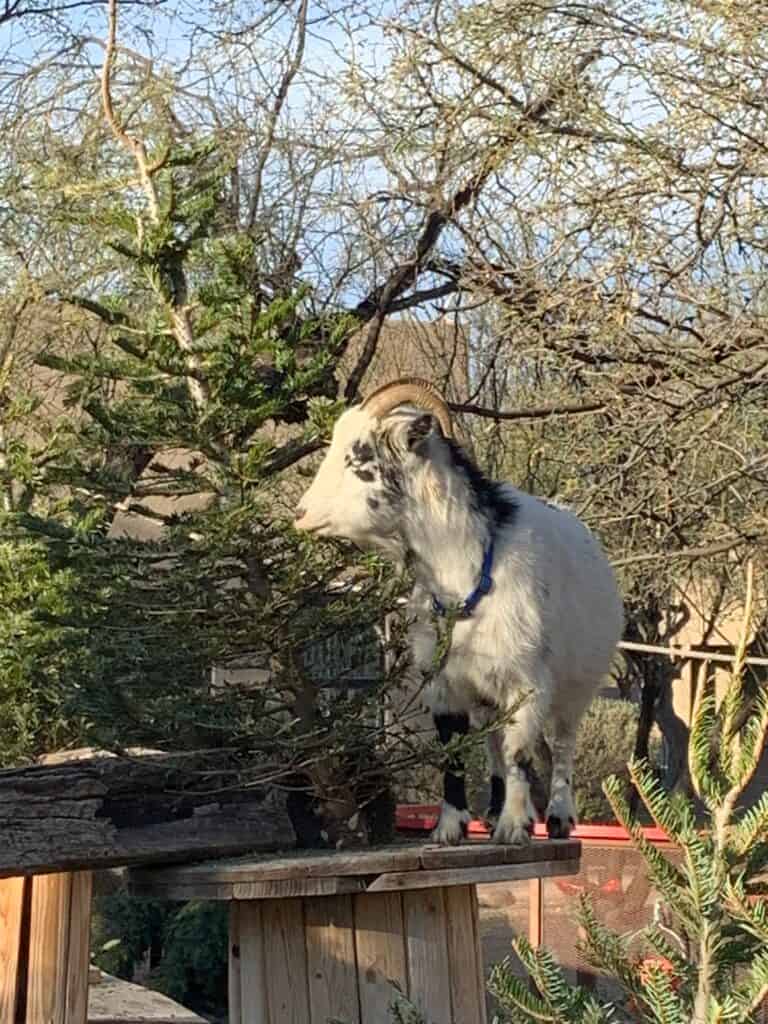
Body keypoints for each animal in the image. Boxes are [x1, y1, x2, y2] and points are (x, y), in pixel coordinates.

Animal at [296, 380, 626, 843]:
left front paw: (514, 827)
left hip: (578, 684)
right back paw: (493, 811)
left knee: (562, 742)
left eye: (358, 458)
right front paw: (451, 826)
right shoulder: (444, 683)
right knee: (491, 743)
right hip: (487, 692)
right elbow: (454, 750)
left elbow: (521, 752)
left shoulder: (528, 683)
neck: (467, 573)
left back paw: (558, 817)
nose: (301, 513)